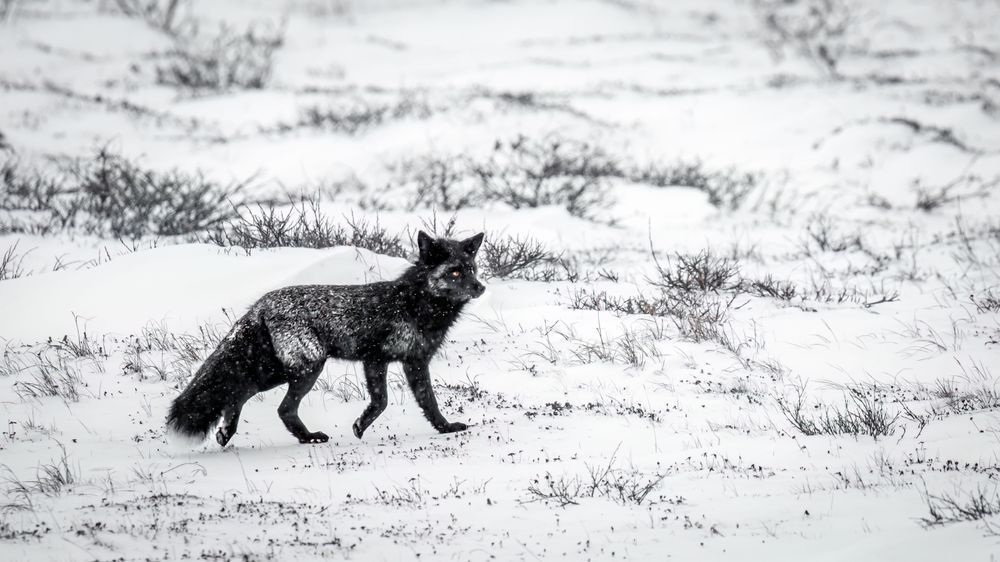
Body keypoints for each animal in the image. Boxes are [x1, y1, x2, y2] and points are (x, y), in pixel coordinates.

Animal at [165, 231, 486, 447]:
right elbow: (397, 401)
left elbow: (415, 402)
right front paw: (361, 426)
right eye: (454, 272)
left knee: (240, 392)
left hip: (278, 369)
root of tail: (261, 304)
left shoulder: (403, 361)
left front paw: (443, 428)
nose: (481, 287)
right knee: (278, 406)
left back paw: (227, 433)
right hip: (306, 368)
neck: (414, 304)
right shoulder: (382, 358)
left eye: (472, 269)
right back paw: (308, 437)